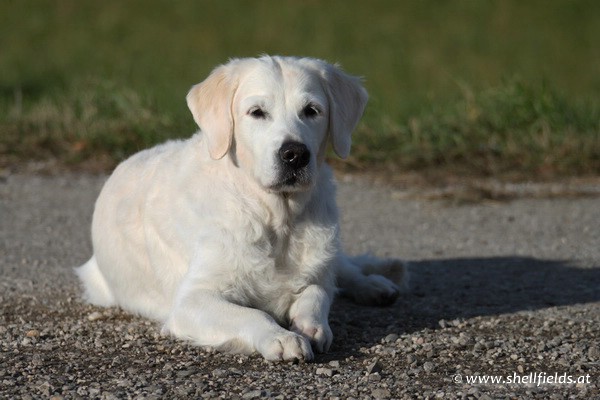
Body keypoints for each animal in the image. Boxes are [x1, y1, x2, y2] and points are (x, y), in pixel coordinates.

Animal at [76, 56, 407, 361]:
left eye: (312, 111)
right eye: (257, 112)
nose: (295, 154)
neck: (275, 218)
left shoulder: (314, 272)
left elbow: (317, 291)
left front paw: (310, 325)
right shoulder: (192, 300)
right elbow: (254, 313)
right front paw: (282, 337)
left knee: (342, 269)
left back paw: (373, 285)